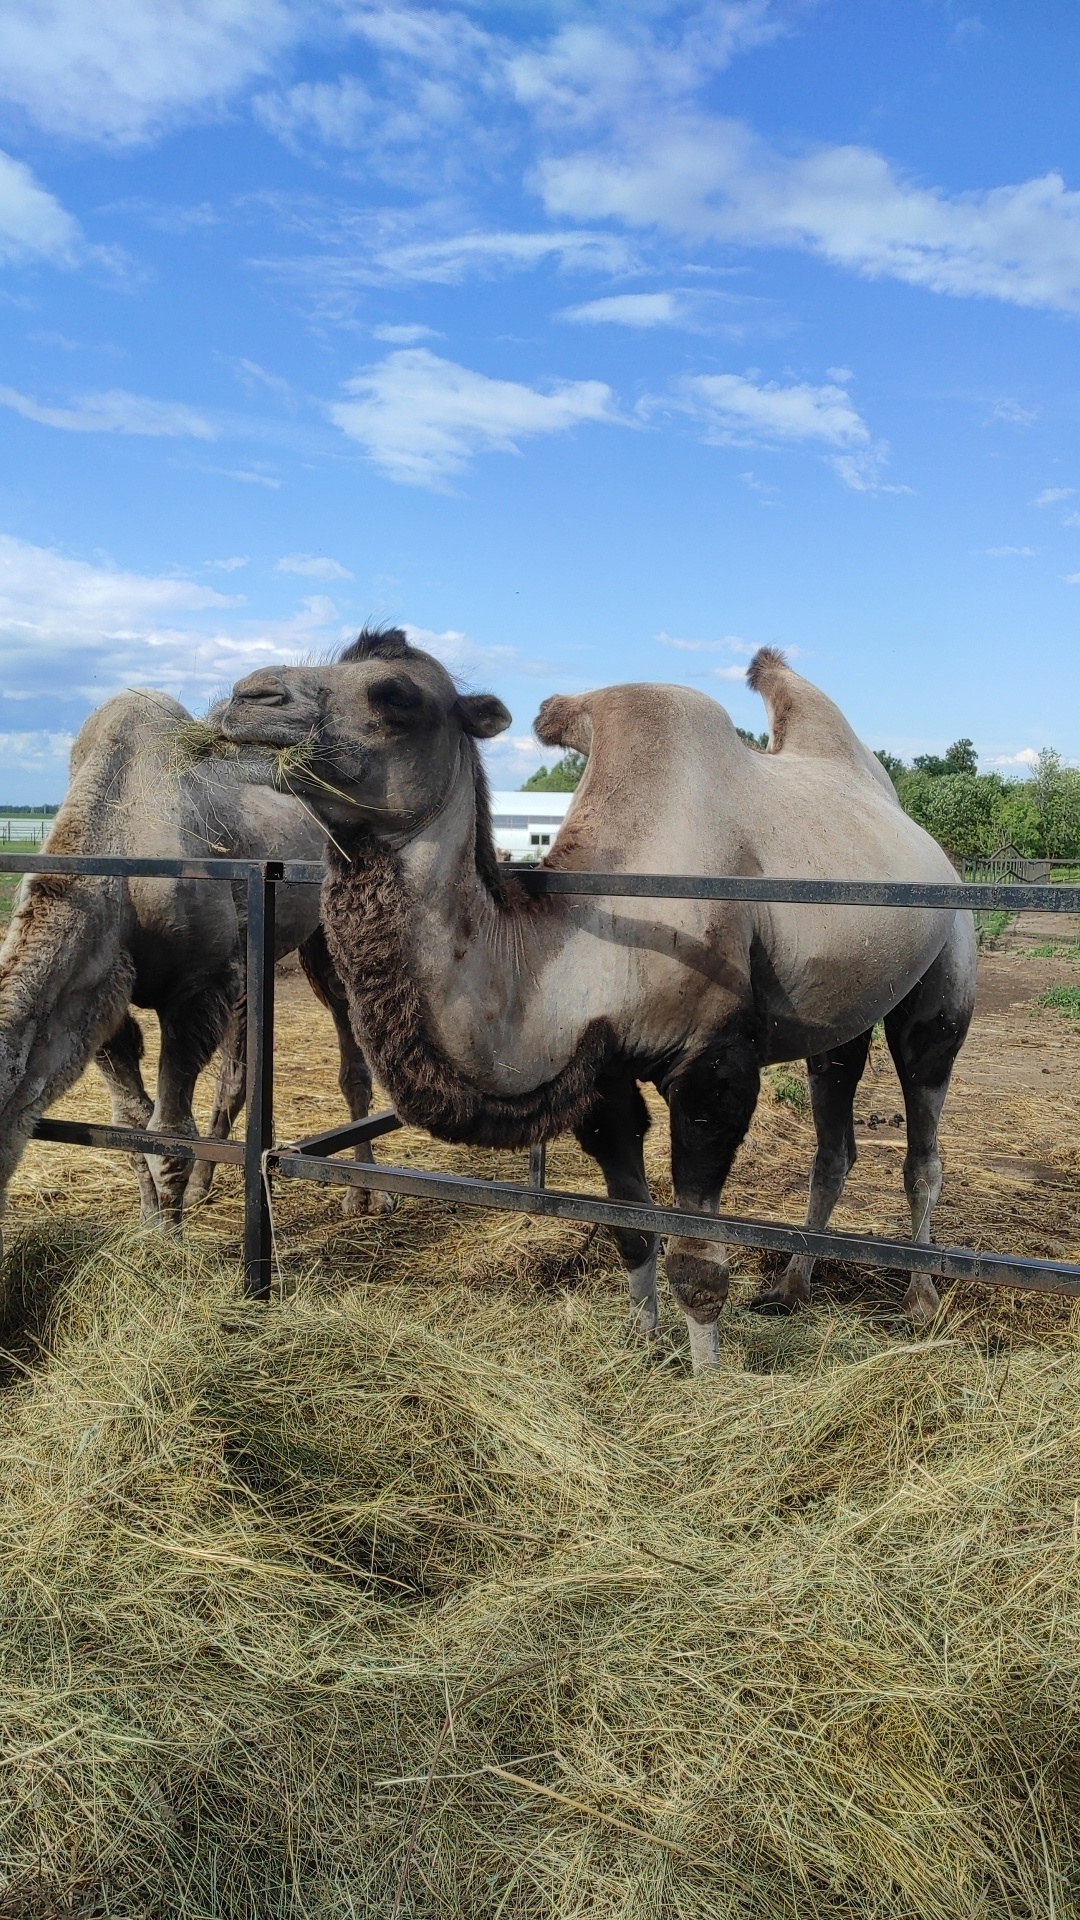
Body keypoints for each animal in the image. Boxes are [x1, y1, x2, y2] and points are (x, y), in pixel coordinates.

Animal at [0, 689, 387, 1250]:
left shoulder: (198, 987)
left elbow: (170, 1132)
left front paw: (169, 1243)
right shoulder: (105, 1000)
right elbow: (131, 1122)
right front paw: (150, 1224)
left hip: (325, 927)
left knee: (347, 1047)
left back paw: (364, 1194)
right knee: (237, 1076)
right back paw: (207, 1185)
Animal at [213, 629, 976, 1372]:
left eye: (396, 695)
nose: (247, 695)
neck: (585, 941)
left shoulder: (713, 1067)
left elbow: (696, 1254)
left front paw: (708, 1382)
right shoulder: (600, 1076)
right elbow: (632, 1229)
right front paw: (641, 1346)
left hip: (945, 974)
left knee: (923, 1144)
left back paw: (921, 1299)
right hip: (840, 1021)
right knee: (834, 1147)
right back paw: (790, 1286)